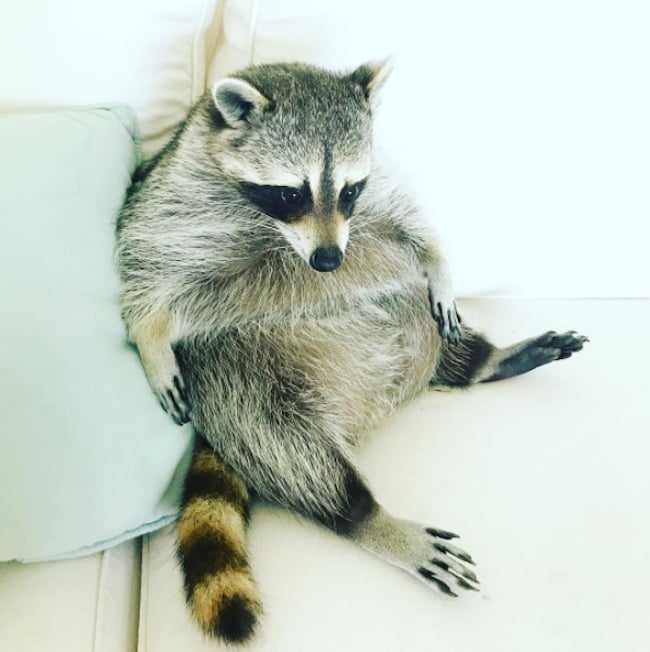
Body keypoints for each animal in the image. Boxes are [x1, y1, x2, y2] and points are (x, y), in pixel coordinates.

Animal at [116, 60, 588, 643]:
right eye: (291, 194)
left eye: (348, 190)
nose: (327, 261)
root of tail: (371, 405)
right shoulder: (175, 197)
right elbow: (144, 259)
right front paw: (150, 336)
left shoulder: (372, 198)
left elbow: (407, 222)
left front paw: (439, 260)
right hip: (236, 380)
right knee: (294, 452)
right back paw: (369, 518)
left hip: (410, 319)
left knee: (424, 316)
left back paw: (484, 361)